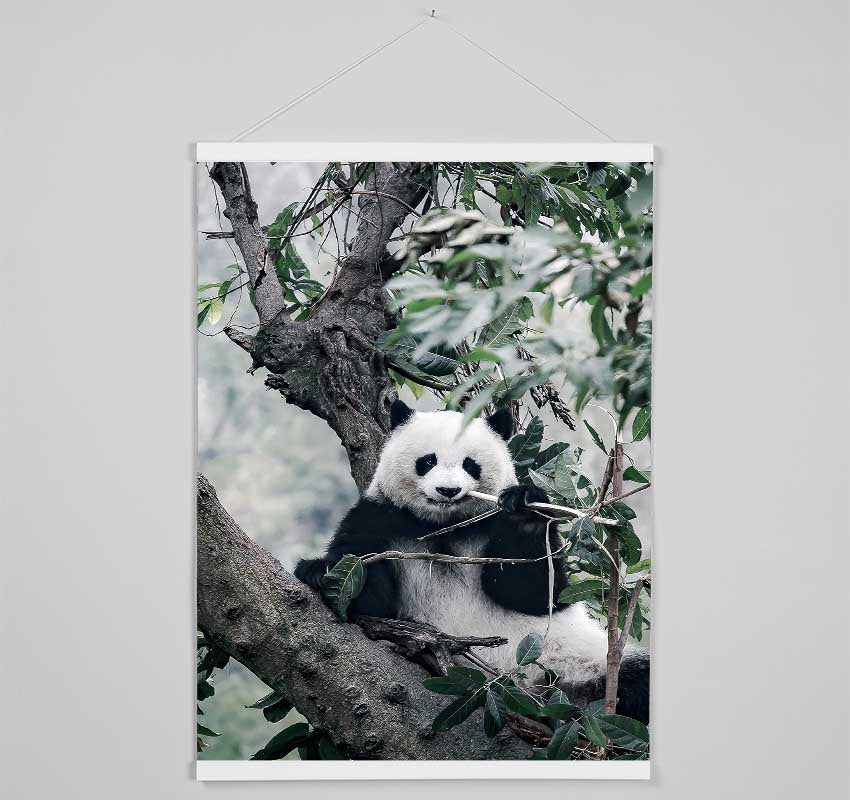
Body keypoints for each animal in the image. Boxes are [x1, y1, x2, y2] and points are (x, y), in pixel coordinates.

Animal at [295, 399, 649, 723]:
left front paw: (525, 512)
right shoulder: (380, 518)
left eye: (470, 464)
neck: (443, 525)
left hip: (578, 663)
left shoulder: (490, 523)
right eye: (427, 461)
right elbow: (370, 601)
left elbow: (538, 595)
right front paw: (320, 572)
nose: (448, 490)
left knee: (636, 680)